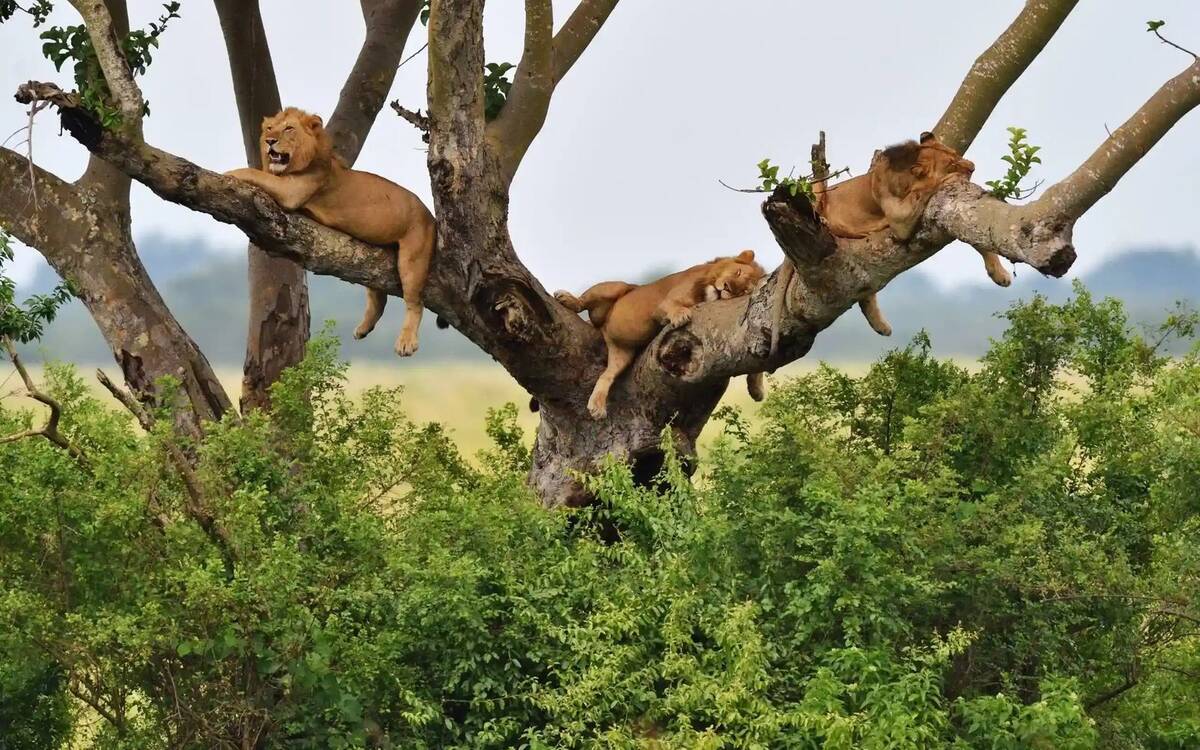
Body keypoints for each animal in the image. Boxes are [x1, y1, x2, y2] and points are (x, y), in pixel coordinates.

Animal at [225, 107, 436, 356]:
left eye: (289, 128)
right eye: (269, 128)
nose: (270, 141)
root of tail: (430, 215)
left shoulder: (292, 190)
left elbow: (256, 173)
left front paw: (229, 172)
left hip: (413, 258)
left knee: (415, 302)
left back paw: (406, 342)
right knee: (378, 297)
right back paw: (363, 329)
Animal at [555, 250, 767, 419]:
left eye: (743, 290)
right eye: (737, 272)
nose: (727, 287)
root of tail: (604, 328)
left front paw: (756, 389)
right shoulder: (664, 303)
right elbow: (673, 306)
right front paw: (680, 315)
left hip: (622, 354)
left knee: (606, 375)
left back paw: (597, 406)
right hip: (616, 288)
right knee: (585, 300)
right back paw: (567, 299)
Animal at [809, 131, 1010, 337]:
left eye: (956, 153)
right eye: (951, 163)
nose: (972, 167)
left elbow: (978, 241)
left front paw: (1000, 274)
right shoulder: (900, 220)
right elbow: (927, 187)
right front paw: (950, 178)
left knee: (865, 293)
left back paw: (881, 326)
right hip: (813, 192)